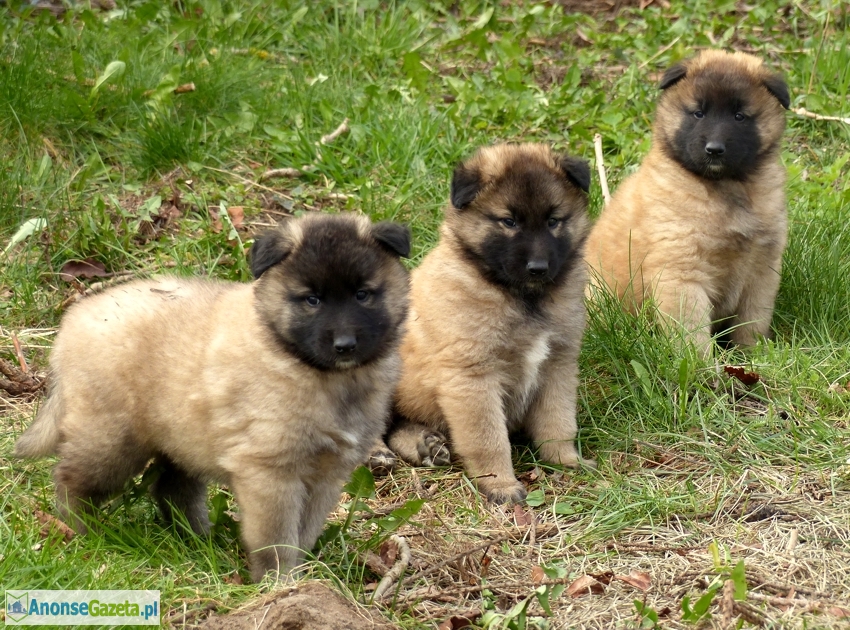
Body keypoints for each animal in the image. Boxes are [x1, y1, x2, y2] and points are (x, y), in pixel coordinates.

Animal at [14, 212, 410, 584]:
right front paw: (277, 584)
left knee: (171, 489)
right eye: (312, 300)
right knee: (71, 478)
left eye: (362, 294)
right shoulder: (271, 472)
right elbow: (276, 537)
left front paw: (299, 575)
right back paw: (83, 532)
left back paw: (195, 538)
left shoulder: (326, 475)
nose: (345, 345)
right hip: (112, 440)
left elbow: (303, 533)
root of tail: (70, 324)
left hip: (180, 437)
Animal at [380, 143, 592, 504]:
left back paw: (424, 444)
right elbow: (488, 439)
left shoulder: (558, 363)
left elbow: (558, 419)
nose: (538, 267)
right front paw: (500, 484)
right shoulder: (472, 377)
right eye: (508, 221)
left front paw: (564, 459)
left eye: (553, 221)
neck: (519, 296)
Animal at [584, 50, 788, 356]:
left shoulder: (762, 269)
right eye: (698, 113)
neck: (725, 187)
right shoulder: (682, 273)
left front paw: (752, 356)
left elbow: (752, 321)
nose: (714, 149)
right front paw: (702, 365)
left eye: (739, 116)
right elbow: (691, 332)